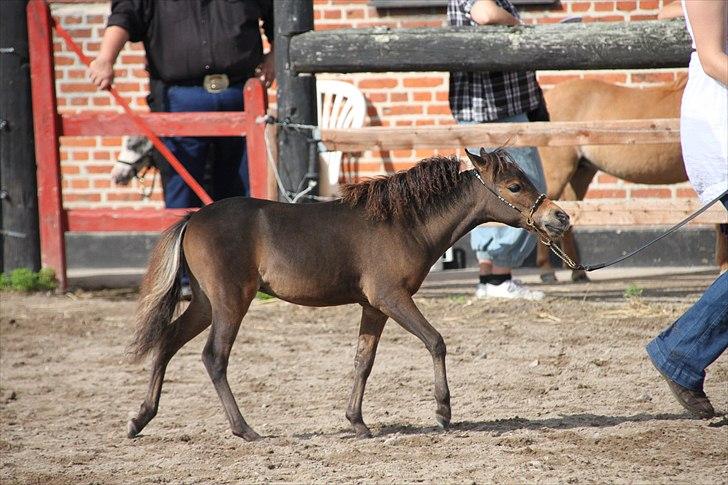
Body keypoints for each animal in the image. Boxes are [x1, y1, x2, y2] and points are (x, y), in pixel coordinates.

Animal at [125, 147, 572, 438]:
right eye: (514, 185)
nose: (560, 217)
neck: (403, 222)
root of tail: (193, 218)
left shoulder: (372, 308)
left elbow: (363, 362)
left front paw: (357, 422)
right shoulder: (392, 298)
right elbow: (436, 341)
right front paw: (443, 411)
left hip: (204, 303)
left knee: (167, 341)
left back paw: (140, 419)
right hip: (230, 302)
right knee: (214, 358)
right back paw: (244, 429)